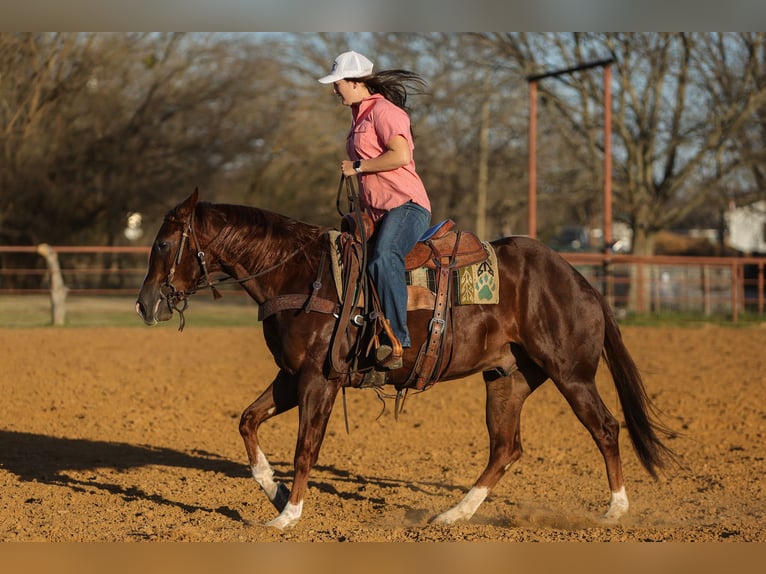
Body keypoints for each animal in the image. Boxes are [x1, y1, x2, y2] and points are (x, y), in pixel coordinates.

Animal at [136, 189, 676, 529]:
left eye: (162, 242)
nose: (145, 304)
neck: (301, 273)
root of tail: (582, 282)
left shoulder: (319, 381)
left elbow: (306, 447)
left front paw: (287, 516)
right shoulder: (291, 378)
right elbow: (247, 421)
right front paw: (277, 492)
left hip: (572, 374)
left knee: (605, 428)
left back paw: (614, 511)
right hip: (507, 377)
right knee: (506, 448)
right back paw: (452, 515)